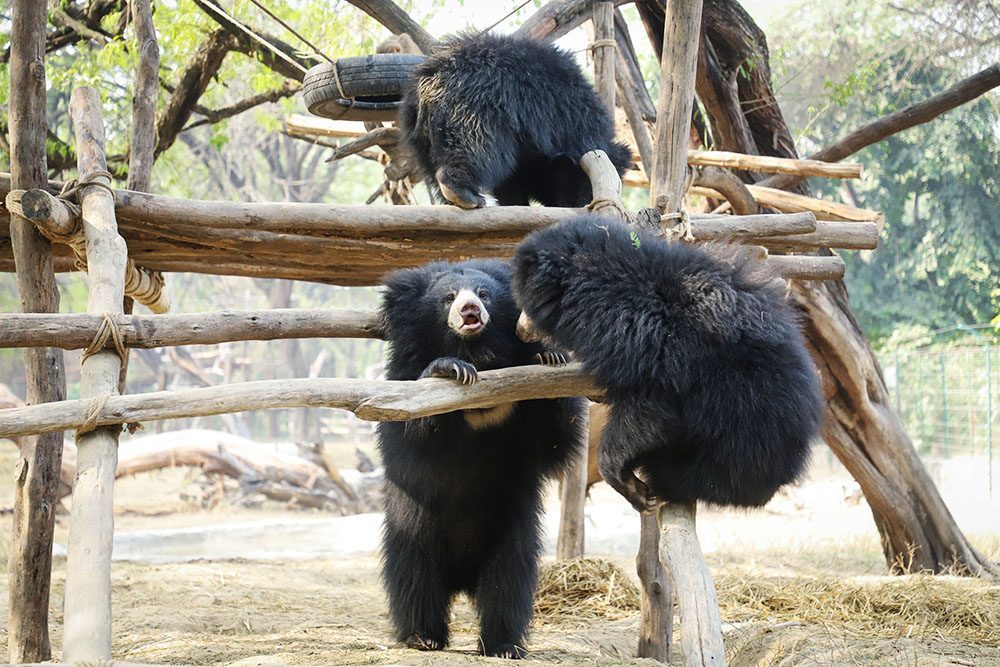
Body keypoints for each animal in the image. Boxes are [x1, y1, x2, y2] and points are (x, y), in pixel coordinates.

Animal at [376, 258, 584, 660]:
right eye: (448, 297)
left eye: (484, 293)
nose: (470, 308)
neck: (479, 355)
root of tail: (462, 577)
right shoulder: (403, 380)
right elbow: (412, 426)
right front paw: (449, 368)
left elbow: (551, 442)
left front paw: (550, 356)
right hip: (413, 526)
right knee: (414, 575)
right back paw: (422, 636)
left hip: (511, 530)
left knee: (509, 584)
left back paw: (503, 644)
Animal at [398, 33, 632, 209]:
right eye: (591, 188)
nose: (584, 204)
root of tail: (428, 82)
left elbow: (512, 182)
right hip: (476, 108)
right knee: (479, 149)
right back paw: (465, 194)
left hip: (420, 135)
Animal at [512, 215, 824, 512]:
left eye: (525, 305)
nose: (520, 330)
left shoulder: (646, 346)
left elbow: (649, 417)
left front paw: (628, 484)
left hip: (737, 433)